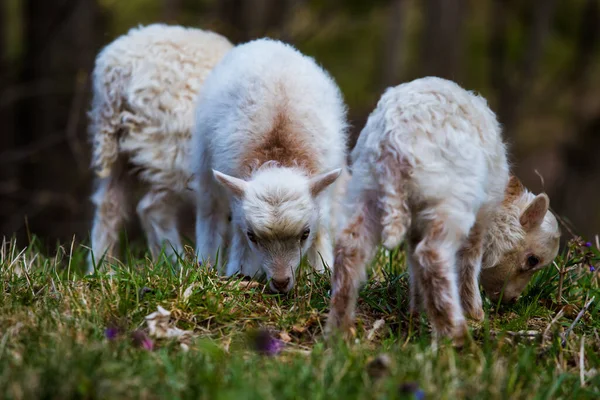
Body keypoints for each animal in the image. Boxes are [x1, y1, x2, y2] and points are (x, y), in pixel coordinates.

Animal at [86, 22, 232, 272]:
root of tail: (115, 71)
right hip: (173, 151)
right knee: (151, 209)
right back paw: (176, 266)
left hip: (121, 152)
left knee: (109, 206)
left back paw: (104, 269)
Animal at [193, 39, 346, 292]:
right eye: (252, 236)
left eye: (305, 234)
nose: (281, 282)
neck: (279, 154)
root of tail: (268, 43)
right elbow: (237, 232)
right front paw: (240, 272)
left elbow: (322, 228)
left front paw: (323, 271)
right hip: (204, 164)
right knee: (210, 213)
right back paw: (204, 263)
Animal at [326, 76, 560, 342]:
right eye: (532, 260)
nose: (510, 301)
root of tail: (394, 143)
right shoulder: (480, 216)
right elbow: (469, 260)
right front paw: (475, 313)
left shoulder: (416, 226)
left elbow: (414, 265)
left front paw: (416, 313)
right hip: (450, 202)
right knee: (433, 255)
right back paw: (456, 335)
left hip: (368, 189)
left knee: (351, 246)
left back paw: (340, 330)